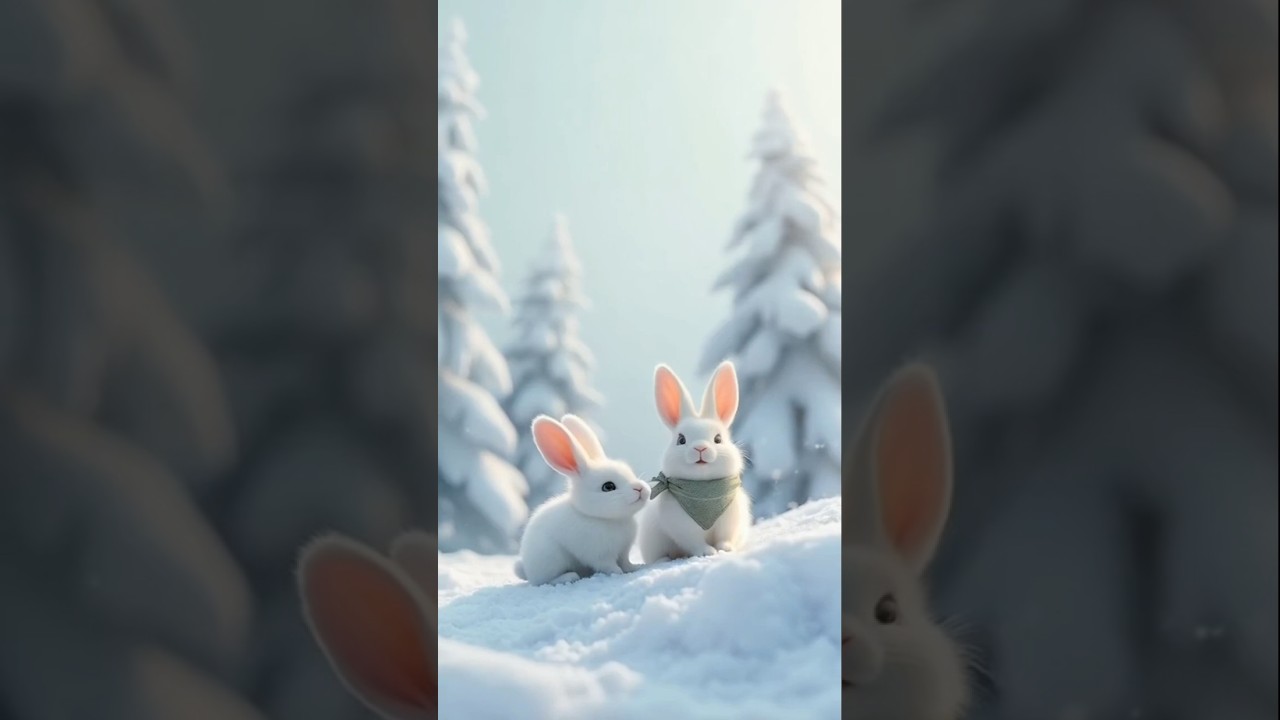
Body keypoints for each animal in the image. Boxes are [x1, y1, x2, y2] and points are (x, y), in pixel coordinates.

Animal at [514, 413, 651, 585]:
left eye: (630, 473)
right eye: (608, 486)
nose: (640, 489)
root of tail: (527, 569)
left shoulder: (623, 551)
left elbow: (626, 562)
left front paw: (635, 568)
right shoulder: (599, 555)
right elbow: (609, 565)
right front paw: (617, 573)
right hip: (550, 560)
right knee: (545, 580)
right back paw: (569, 576)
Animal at [638, 360, 752, 563]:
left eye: (718, 439)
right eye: (681, 439)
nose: (700, 448)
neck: (704, 493)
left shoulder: (729, 521)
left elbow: (725, 538)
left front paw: (725, 549)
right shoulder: (683, 528)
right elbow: (695, 542)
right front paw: (708, 552)